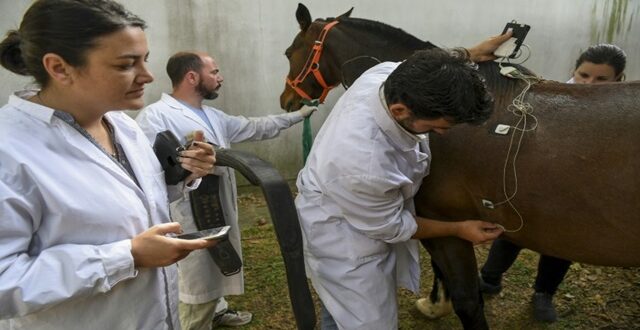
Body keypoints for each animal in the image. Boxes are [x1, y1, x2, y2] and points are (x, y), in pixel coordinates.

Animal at [282, 3, 640, 330]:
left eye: (288, 52)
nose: (286, 100)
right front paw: (435, 302)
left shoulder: (446, 225)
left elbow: (467, 300)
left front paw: (437, 302)